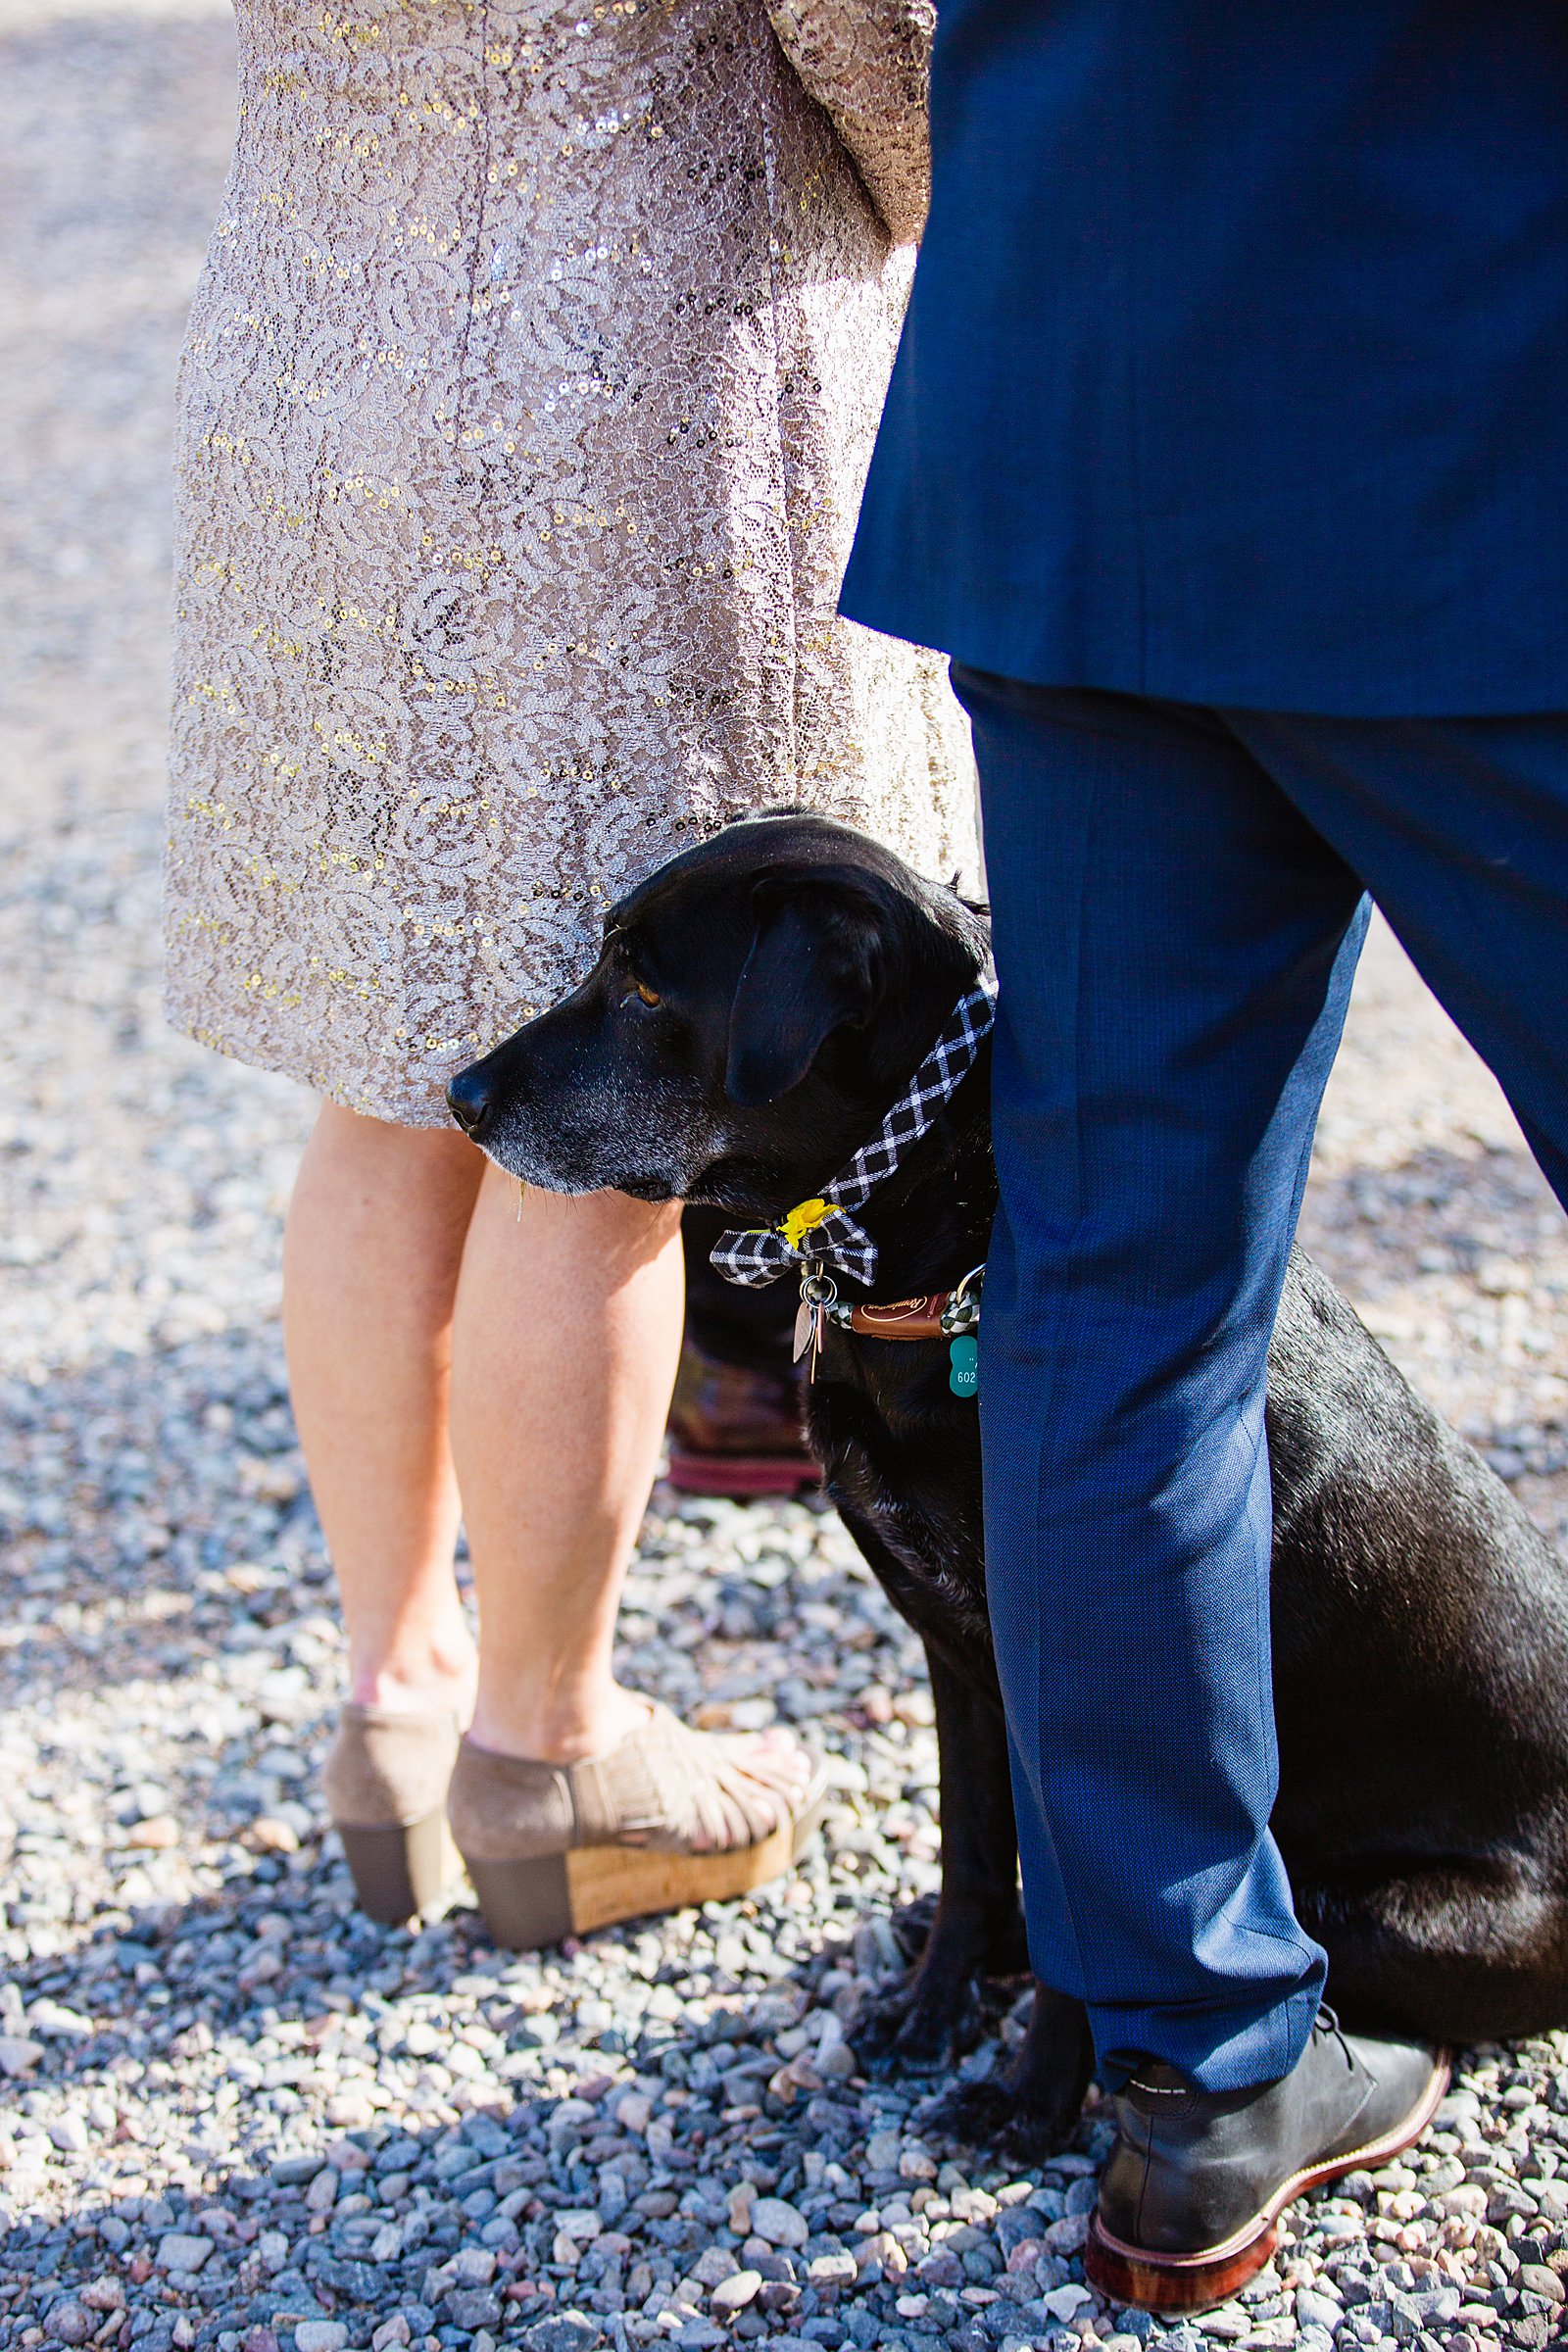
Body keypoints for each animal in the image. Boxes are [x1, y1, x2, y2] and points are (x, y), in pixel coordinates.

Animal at [444, 808, 1568, 2154]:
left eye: (647, 987)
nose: (457, 1098)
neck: (949, 1256)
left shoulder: (1062, 1689)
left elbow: (1088, 1916)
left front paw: (1033, 2096)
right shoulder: (953, 1655)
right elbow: (972, 1852)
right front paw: (934, 2009)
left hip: (1378, 1910)